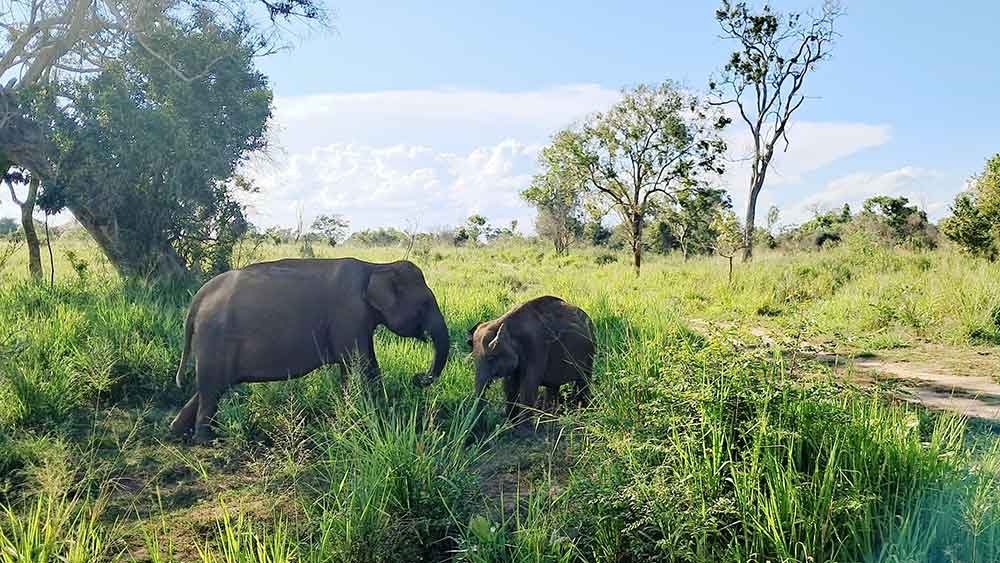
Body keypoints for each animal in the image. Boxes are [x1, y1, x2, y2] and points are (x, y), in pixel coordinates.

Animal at [170, 258, 450, 441]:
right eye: (424, 305)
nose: (418, 378)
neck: (377, 266)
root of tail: (198, 297)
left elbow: (357, 367)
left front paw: (358, 415)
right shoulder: (349, 315)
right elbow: (362, 365)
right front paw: (371, 419)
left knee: (209, 388)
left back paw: (177, 431)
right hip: (215, 339)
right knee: (211, 389)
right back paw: (206, 441)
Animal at [467, 296, 595, 426]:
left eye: (491, 358)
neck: (502, 323)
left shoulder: (535, 348)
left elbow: (528, 386)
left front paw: (523, 428)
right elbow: (509, 386)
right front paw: (511, 423)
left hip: (589, 354)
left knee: (584, 380)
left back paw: (582, 409)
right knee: (554, 386)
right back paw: (549, 418)